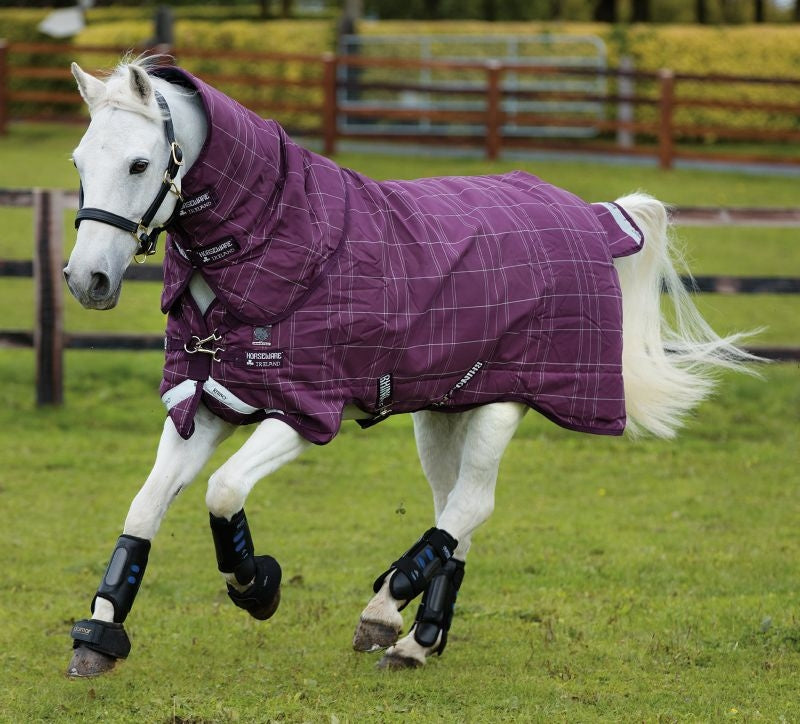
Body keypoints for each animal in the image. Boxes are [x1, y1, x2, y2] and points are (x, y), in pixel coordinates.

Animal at [63, 57, 756, 678]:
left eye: (139, 163)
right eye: (78, 162)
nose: (86, 279)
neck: (279, 247)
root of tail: (587, 215)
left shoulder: (303, 412)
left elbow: (224, 489)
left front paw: (258, 586)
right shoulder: (206, 401)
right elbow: (144, 508)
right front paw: (99, 635)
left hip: (505, 401)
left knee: (471, 504)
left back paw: (386, 608)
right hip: (446, 409)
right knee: (455, 512)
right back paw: (419, 637)